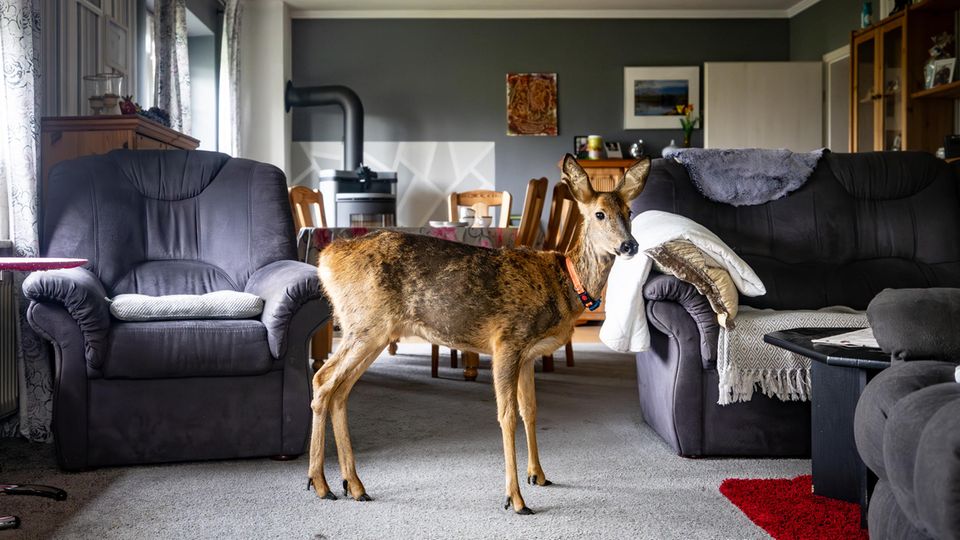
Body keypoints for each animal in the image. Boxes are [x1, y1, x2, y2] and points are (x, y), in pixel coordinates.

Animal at [308, 154, 652, 512]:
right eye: (599, 214)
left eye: (629, 213)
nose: (629, 245)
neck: (567, 283)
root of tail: (327, 259)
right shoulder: (507, 340)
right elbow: (507, 416)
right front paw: (515, 498)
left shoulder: (529, 355)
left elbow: (530, 410)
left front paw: (539, 475)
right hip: (366, 325)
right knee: (323, 379)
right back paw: (320, 483)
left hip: (370, 330)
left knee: (339, 390)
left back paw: (352, 485)